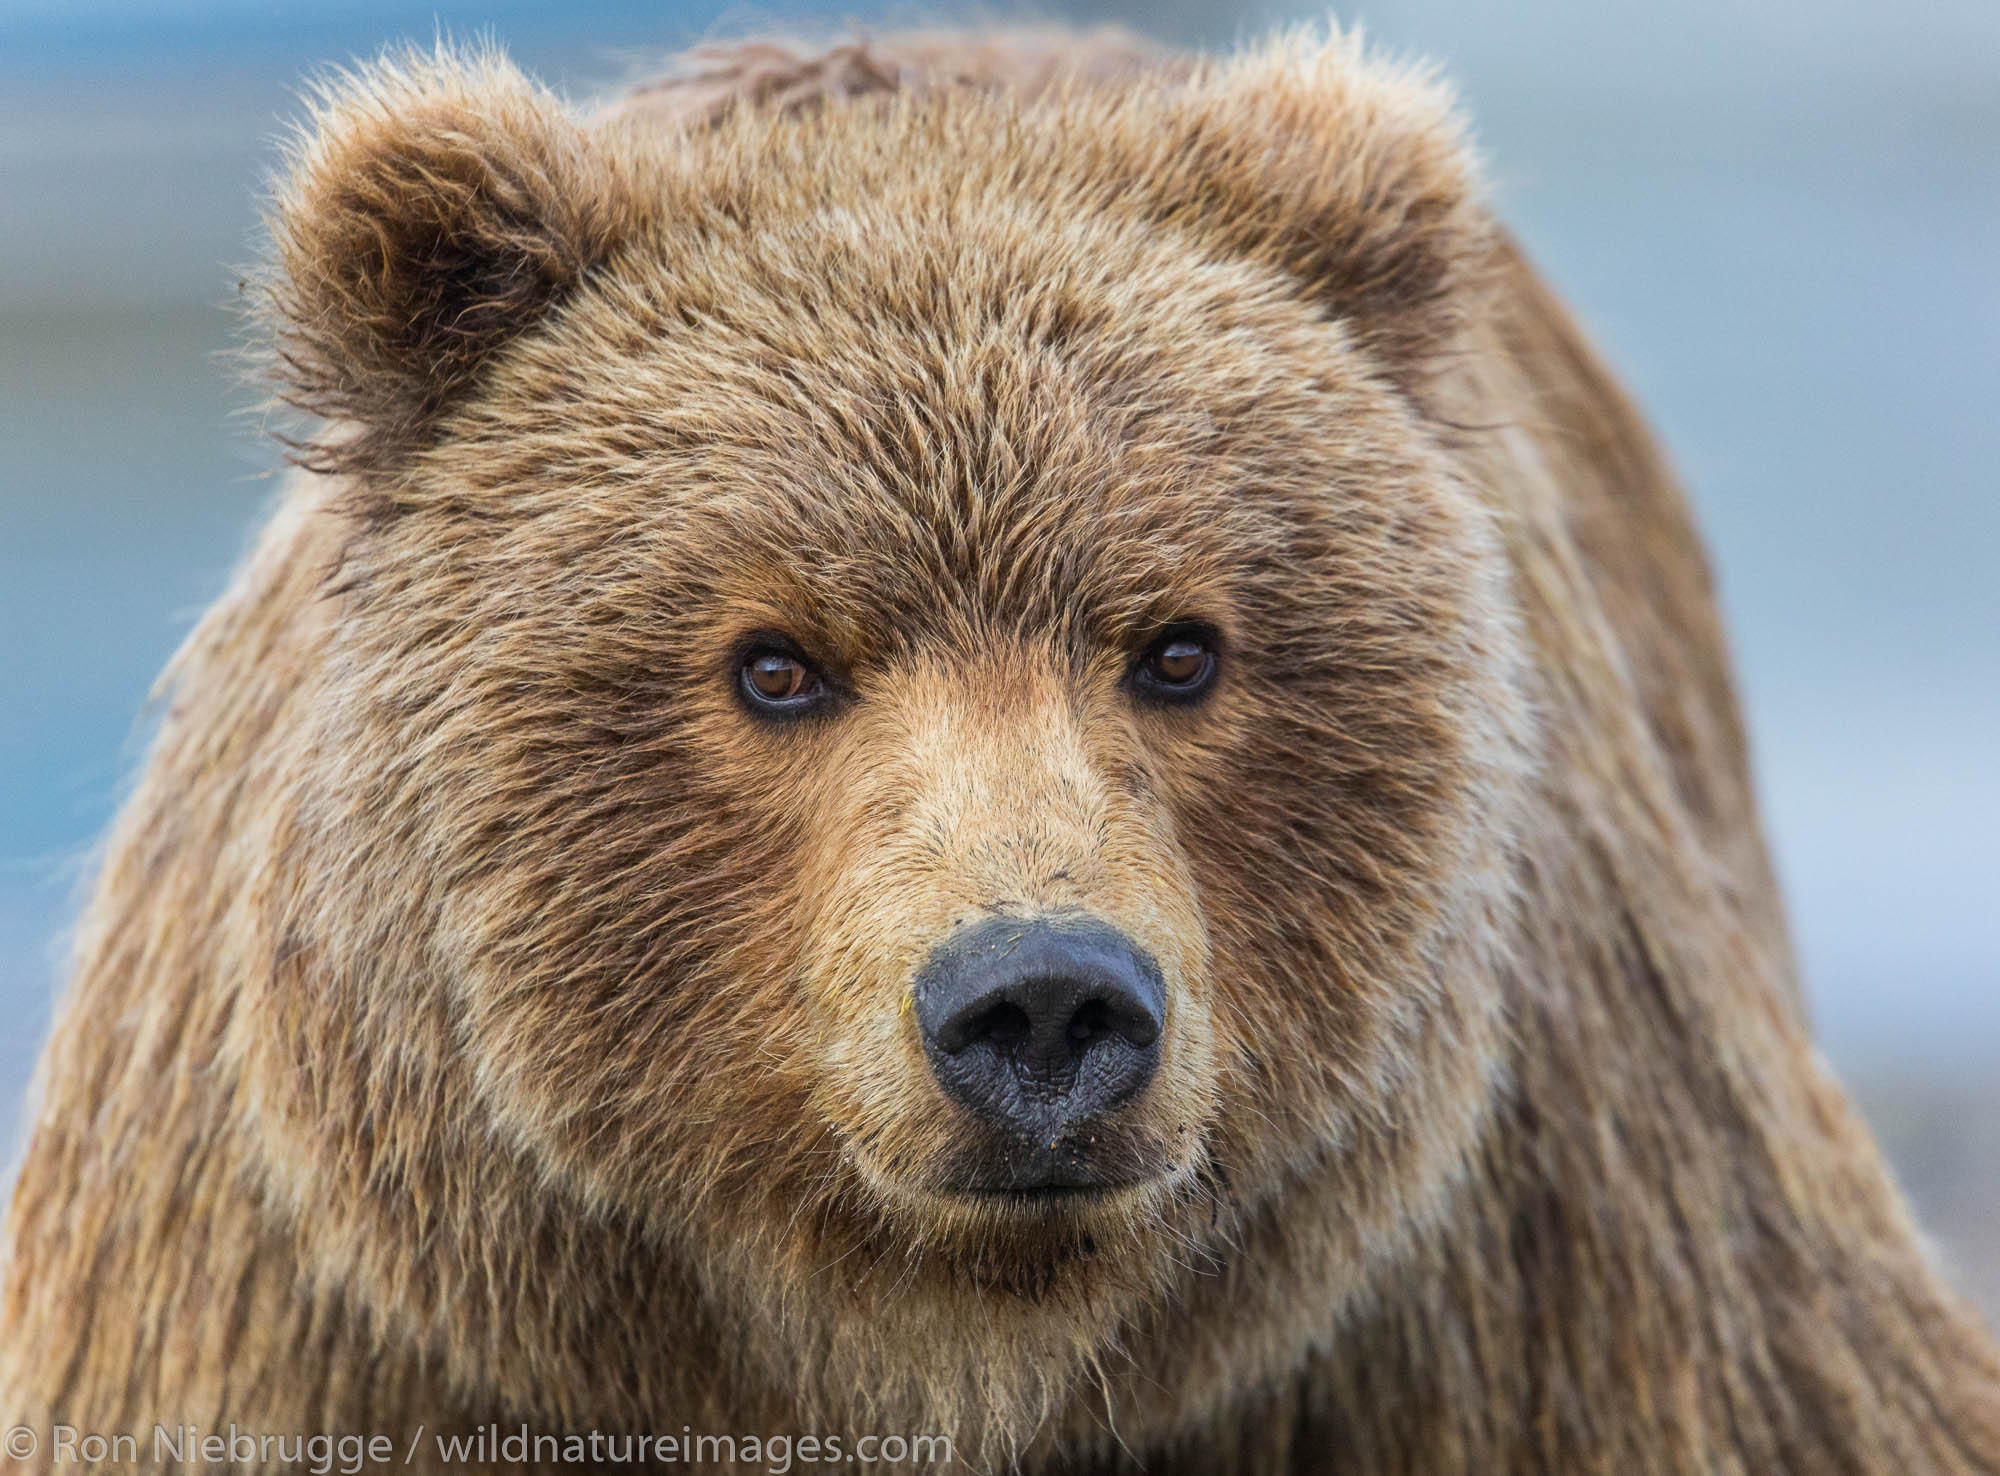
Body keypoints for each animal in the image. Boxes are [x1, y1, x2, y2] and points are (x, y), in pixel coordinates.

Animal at [3, 23, 2000, 1472]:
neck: (947, 1356)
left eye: (1181, 650)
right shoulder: (315, 1316)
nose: (1039, 999)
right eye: (777, 664)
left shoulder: (1552, 1264)